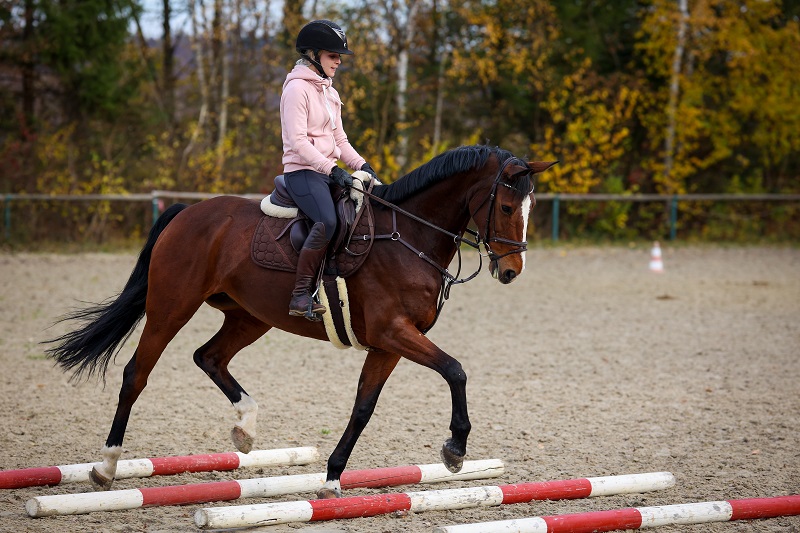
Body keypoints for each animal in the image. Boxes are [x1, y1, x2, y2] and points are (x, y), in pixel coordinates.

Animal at [45, 145, 556, 498]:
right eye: (506, 207)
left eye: (529, 208)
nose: (512, 271)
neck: (408, 236)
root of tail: (188, 212)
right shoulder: (395, 332)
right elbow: (456, 370)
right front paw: (455, 450)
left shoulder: (388, 345)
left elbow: (363, 408)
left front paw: (331, 479)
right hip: (171, 307)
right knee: (138, 373)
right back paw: (107, 466)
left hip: (250, 317)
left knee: (208, 356)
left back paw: (246, 428)